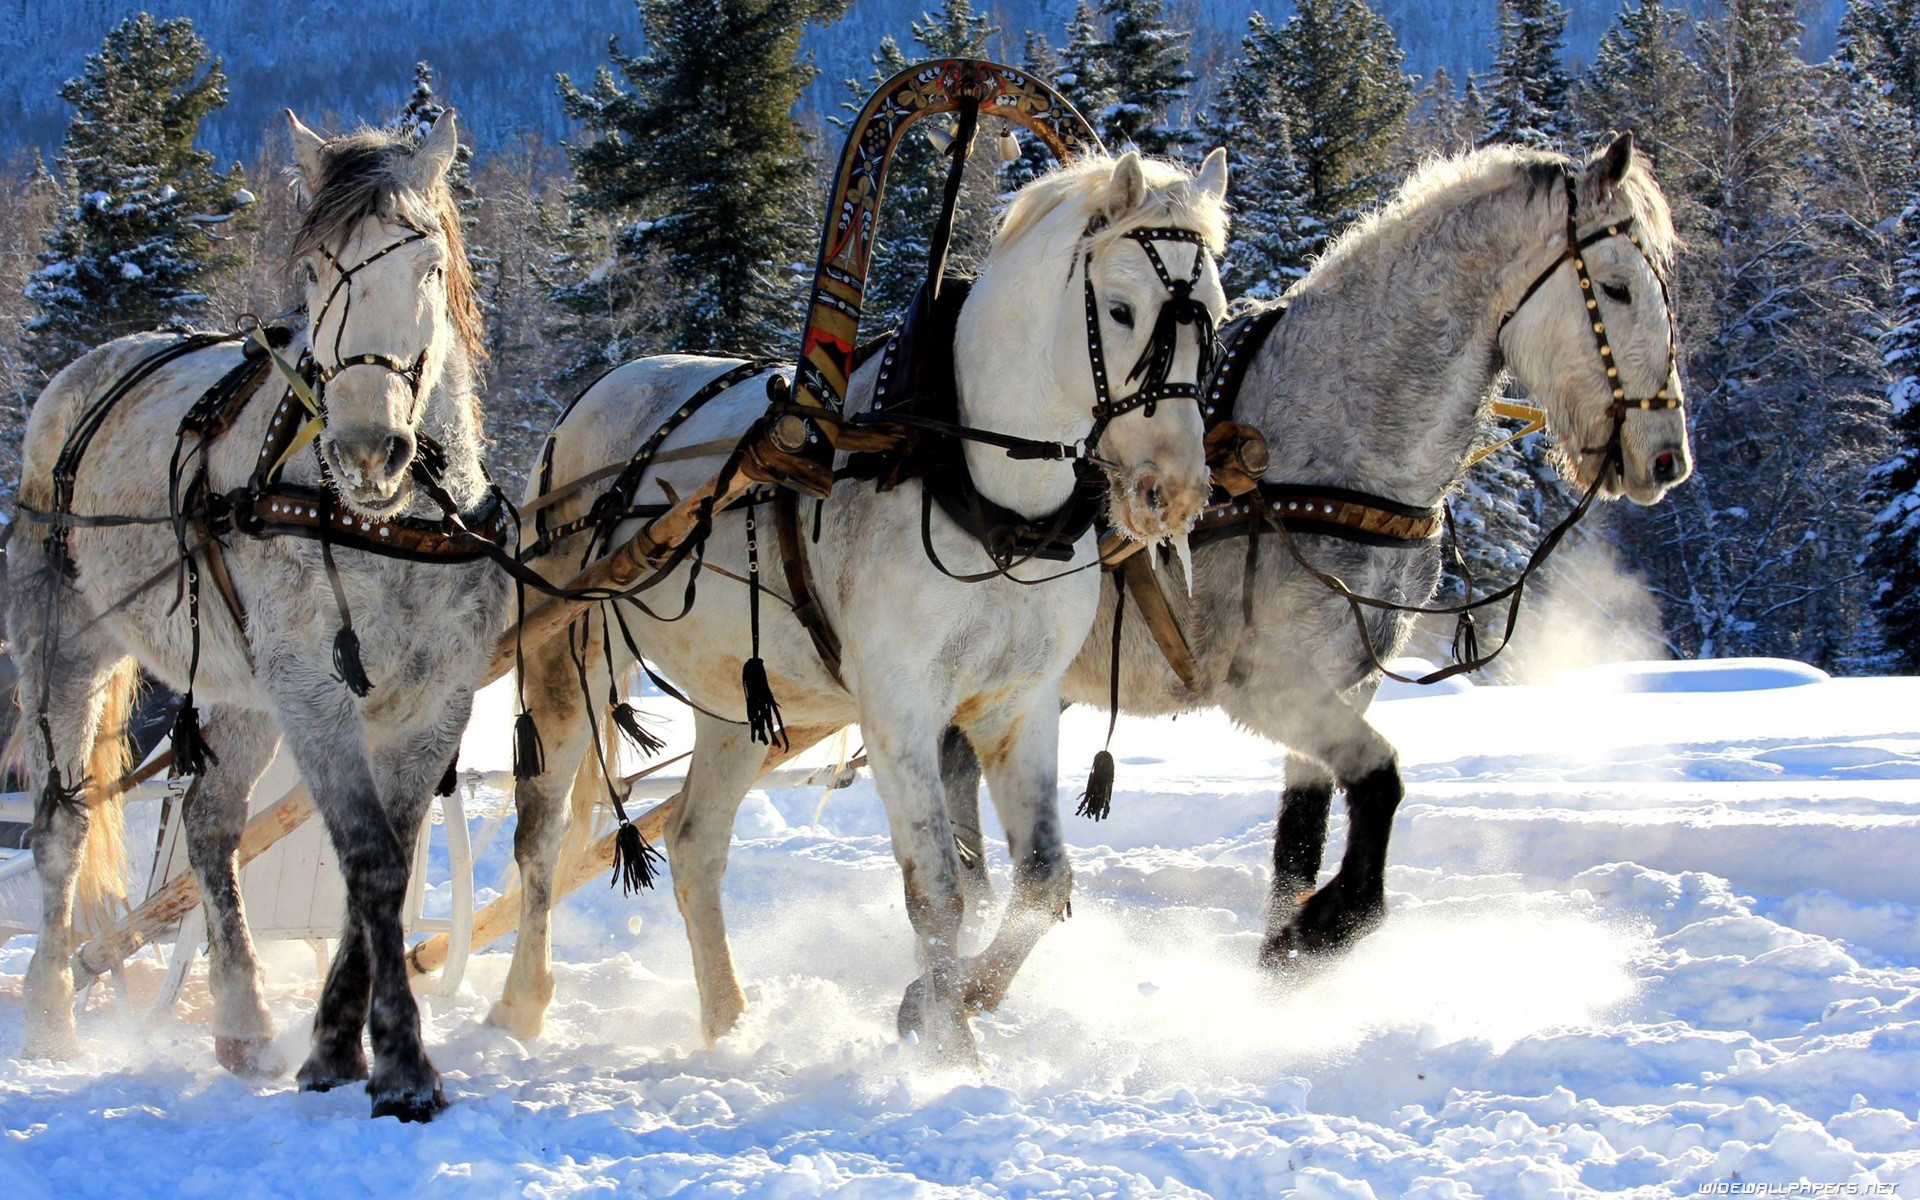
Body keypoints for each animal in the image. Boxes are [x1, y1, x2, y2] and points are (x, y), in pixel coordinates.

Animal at [7, 114, 506, 1122]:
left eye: (427, 262)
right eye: (314, 267)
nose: (366, 448)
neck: (385, 521)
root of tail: (84, 373)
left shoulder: (433, 700)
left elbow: (384, 862)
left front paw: (334, 1047)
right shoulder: (313, 689)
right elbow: (370, 858)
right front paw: (399, 1064)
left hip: (235, 686)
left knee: (207, 822)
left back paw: (240, 1022)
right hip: (61, 648)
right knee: (61, 829)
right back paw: (49, 1014)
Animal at [493, 149, 1230, 1063]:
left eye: (1216, 318)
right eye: (1123, 310)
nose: (1176, 490)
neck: (982, 494)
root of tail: (596, 393)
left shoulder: (1018, 706)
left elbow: (1041, 883)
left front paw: (960, 998)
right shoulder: (900, 708)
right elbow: (939, 892)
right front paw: (949, 1050)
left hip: (741, 701)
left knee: (695, 845)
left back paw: (727, 1021)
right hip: (570, 659)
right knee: (538, 839)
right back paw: (520, 1008)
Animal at [943, 134, 1693, 967]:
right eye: (1618, 287)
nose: (1666, 456)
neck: (1332, 444)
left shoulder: (1344, 682)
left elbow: (1300, 843)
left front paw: (1283, 956)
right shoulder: (1268, 683)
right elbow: (1380, 783)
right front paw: (1332, 921)